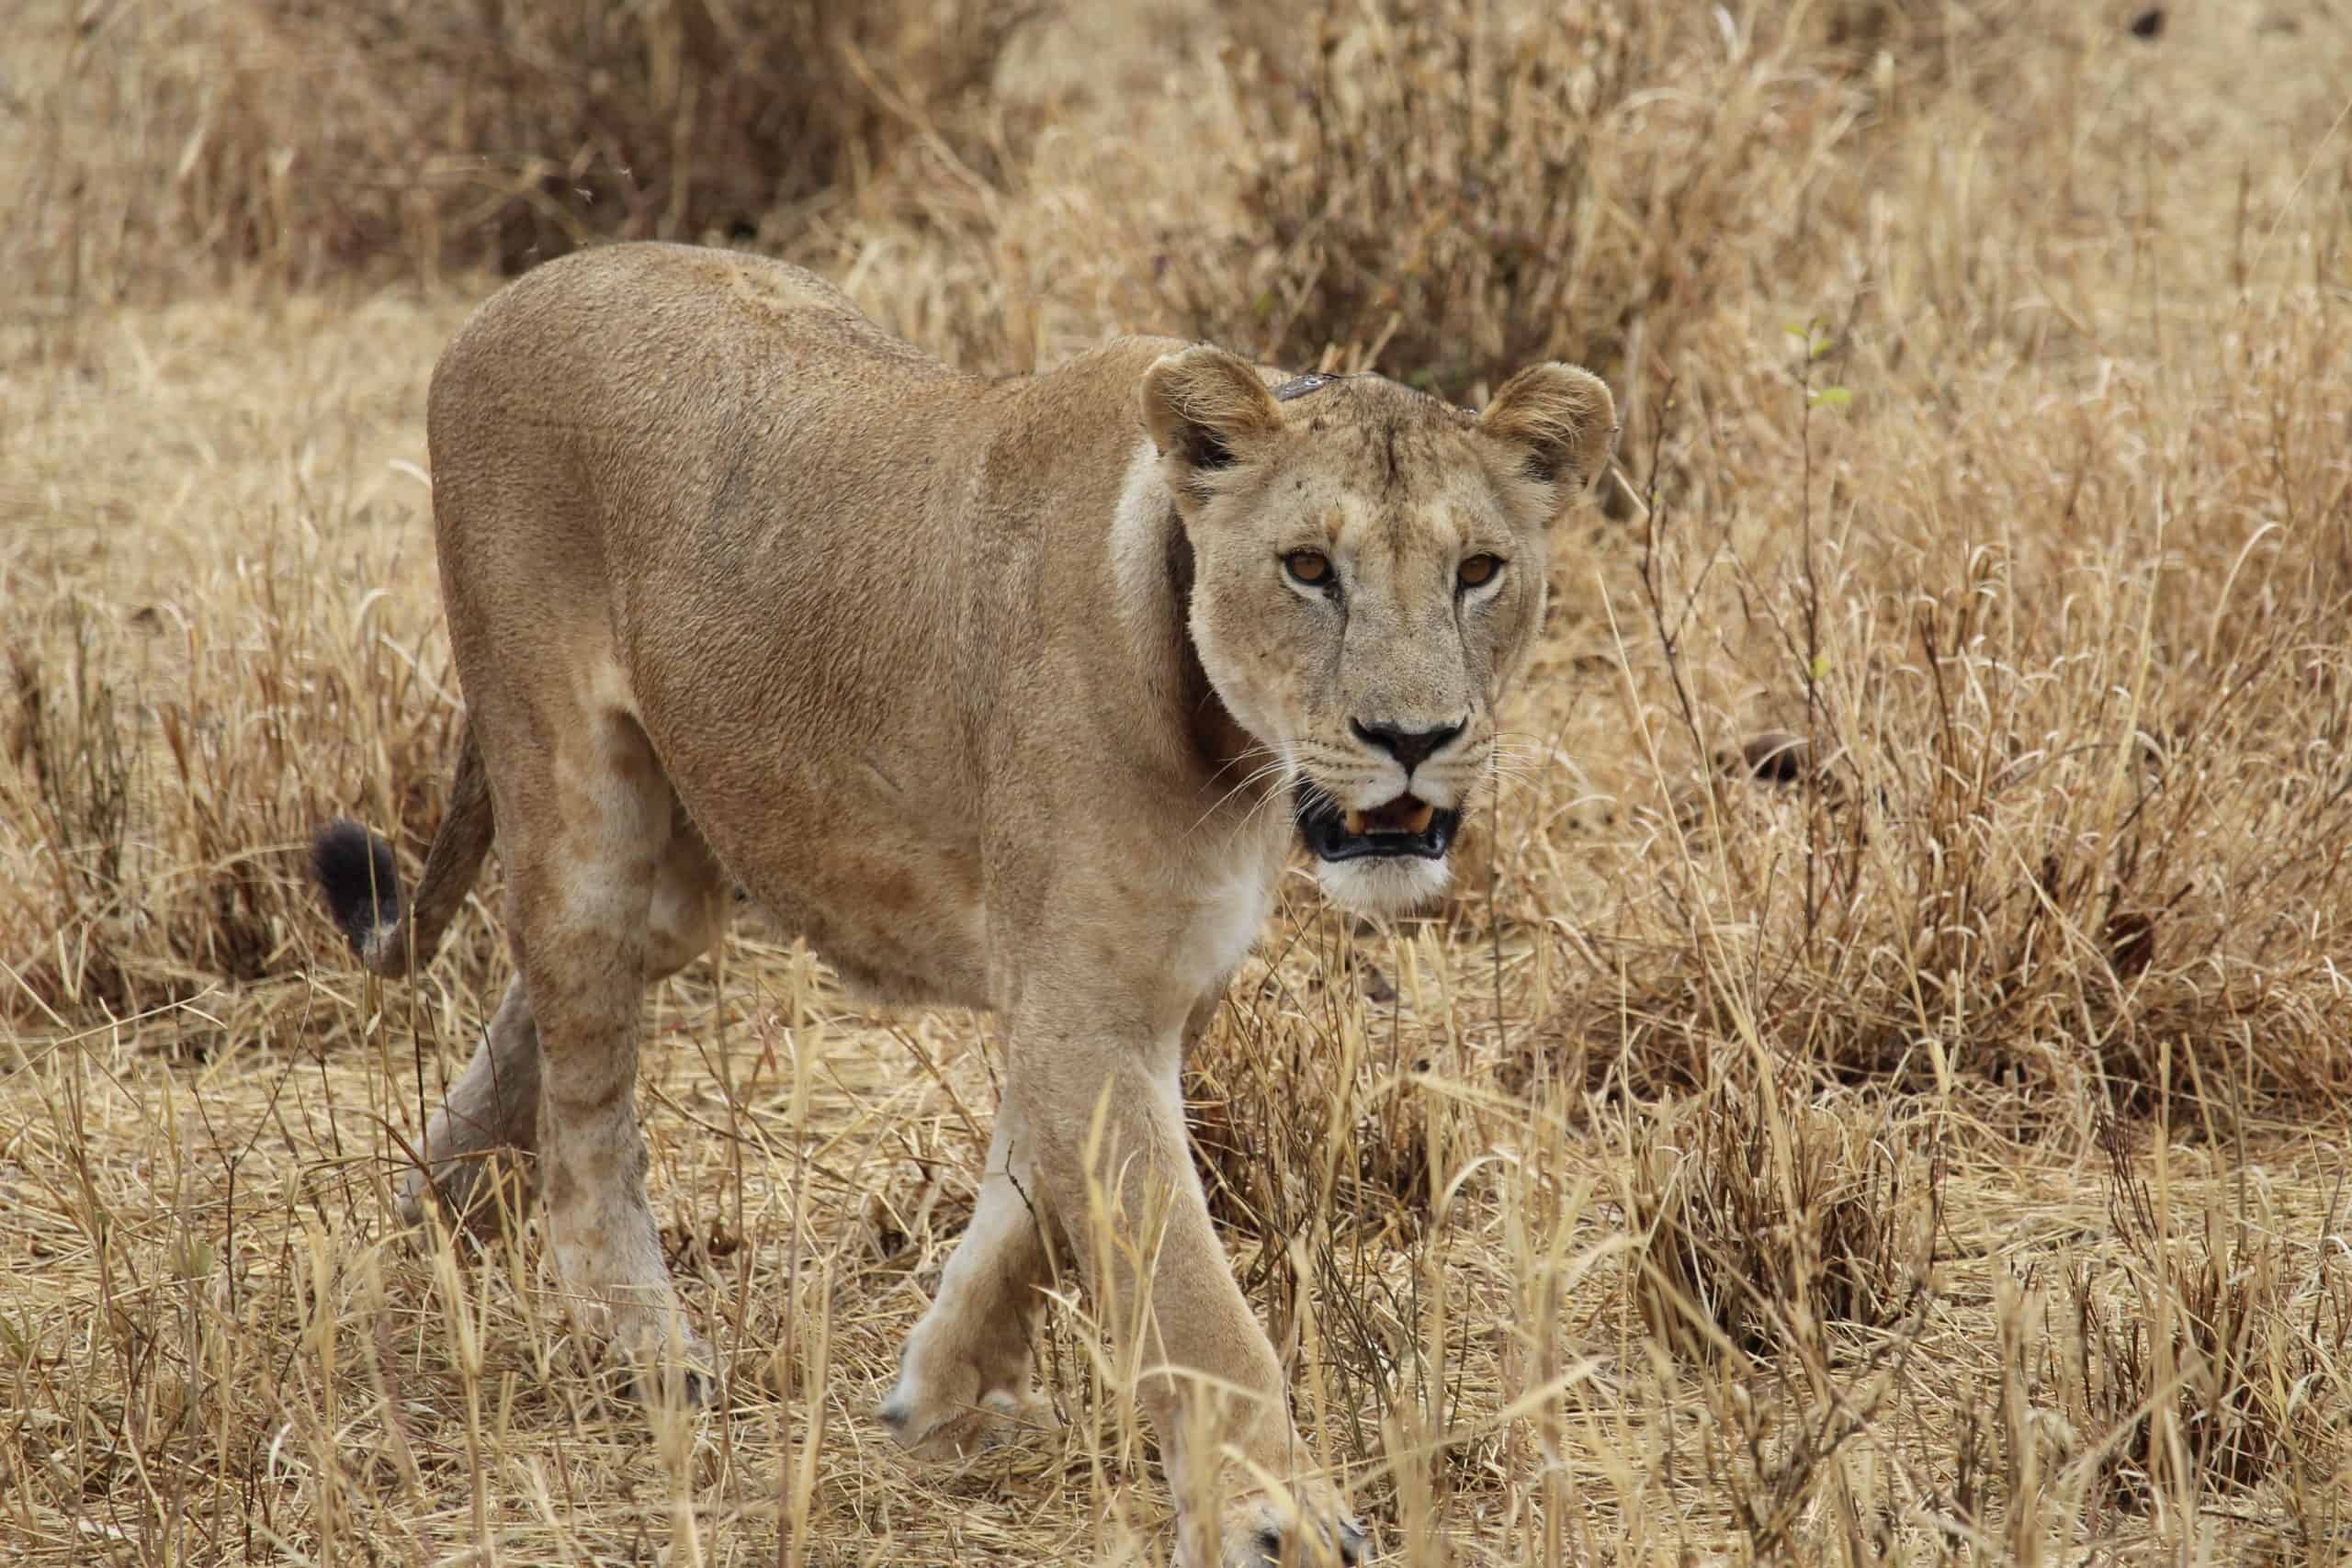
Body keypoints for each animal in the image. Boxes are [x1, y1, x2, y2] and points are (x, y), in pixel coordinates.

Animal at [311, 241, 1615, 1567]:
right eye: (1308, 567)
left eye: (1478, 570)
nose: (1415, 739)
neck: (1232, 752)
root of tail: (517, 290)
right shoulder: (1085, 998)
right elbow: (1179, 1274)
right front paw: (1274, 1510)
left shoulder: (1149, 982)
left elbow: (1031, 1195)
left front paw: (939, 1386)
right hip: (577, 794)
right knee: (586, 1088)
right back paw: (639, 1341)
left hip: (690, 855)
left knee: (544, 1004)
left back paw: (421, 1212)